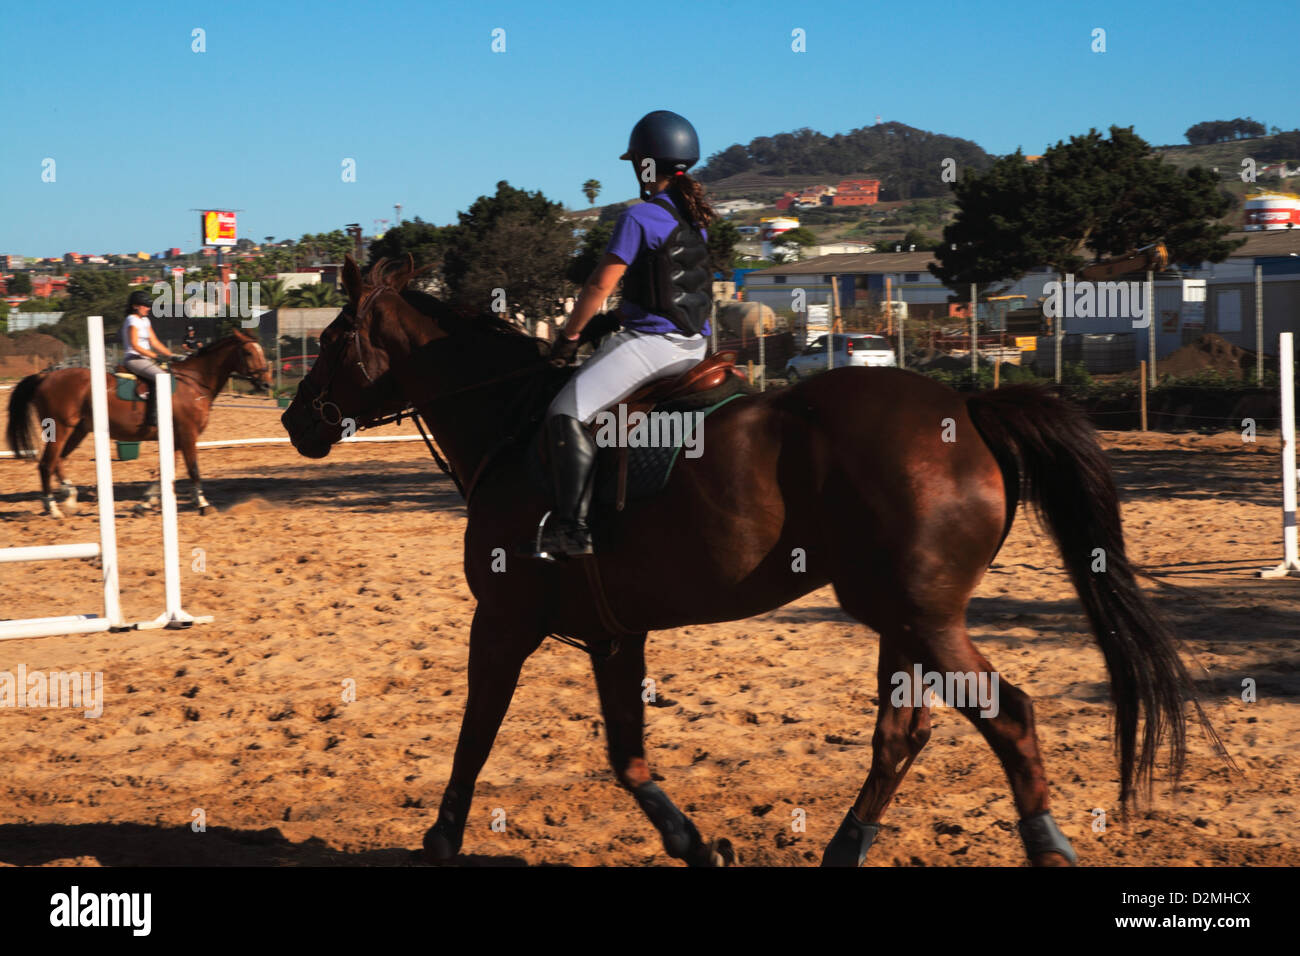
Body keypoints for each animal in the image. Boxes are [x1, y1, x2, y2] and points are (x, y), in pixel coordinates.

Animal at [6, 332, 271, 520]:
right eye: (248, 353)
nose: (267, 383)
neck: (195, 383)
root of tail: (45, 376)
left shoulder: (177, 437)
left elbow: (167, 471)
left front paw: (145, 503)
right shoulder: (188, 434)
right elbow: (192, 469)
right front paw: (203, 504)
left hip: (78, 430)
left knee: (58, 461)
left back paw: (69, 498)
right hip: (60, 429)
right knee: (46, 464)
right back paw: (53, 509)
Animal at [282, 260, 1216, 868]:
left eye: (331, 339)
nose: (296, 423)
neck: (511, 423)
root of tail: (967, 407)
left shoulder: (504, 620)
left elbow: (476, 733)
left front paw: (440, 839)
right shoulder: (614, 636)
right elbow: (626, 756)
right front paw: (694, 844)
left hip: (918, 615)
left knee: (1007, 714)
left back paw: (1046, 848)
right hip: (903, 615)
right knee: (902, 733)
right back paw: (844, 849)